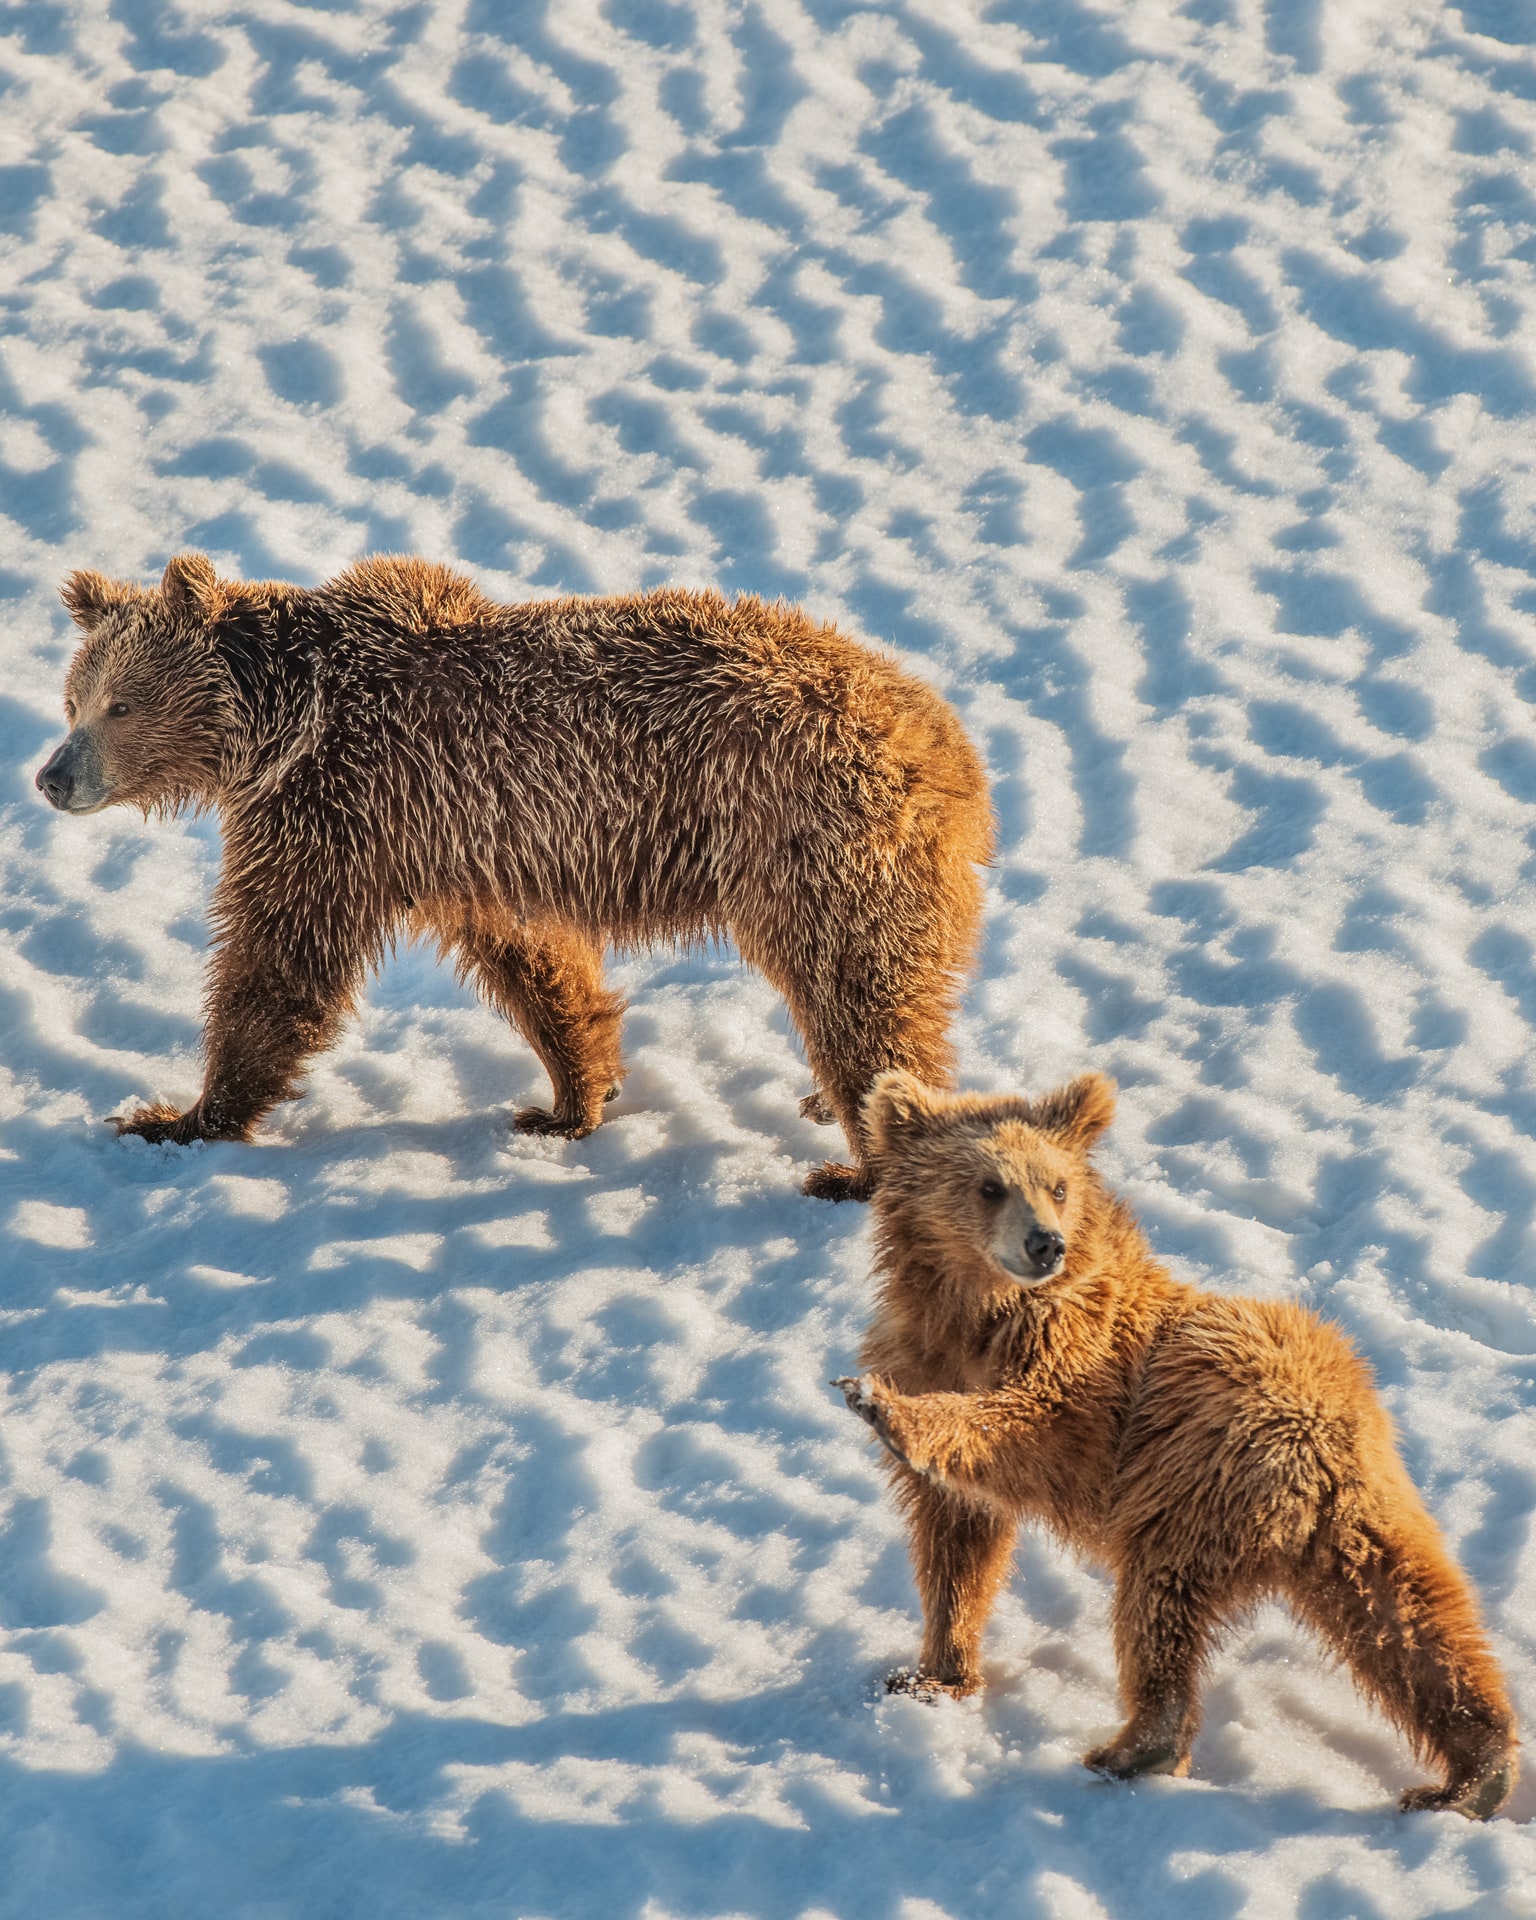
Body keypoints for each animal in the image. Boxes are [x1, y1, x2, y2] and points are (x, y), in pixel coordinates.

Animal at [35, 554, 992, 1198]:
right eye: (72, 699)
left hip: (811, 844)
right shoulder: (473, 840)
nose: (52, 776)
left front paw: (179, 1116)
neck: (284, 725)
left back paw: (858, 1165)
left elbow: (278, 963)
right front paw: (570, 1099)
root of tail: (949, 750)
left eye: (120, 703)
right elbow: (536, 966)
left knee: (855, 996)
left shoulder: (339, 811)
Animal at [834, 1071, 1516, 1817]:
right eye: (990, 1185)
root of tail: (1310, 1462)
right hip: (1368, 1517)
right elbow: (957, 1545)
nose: (1046, 1244)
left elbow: (1026, 1427)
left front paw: (880, 1406)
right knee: (1414, 1623)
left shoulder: (1081, 1371)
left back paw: (1132, 1748)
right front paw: (933, 1673)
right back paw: (1474, 1774)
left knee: (1158, 1609)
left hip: (1189, 1474)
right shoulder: (930, 1357)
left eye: (1057, 1186)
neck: (972, 1313)